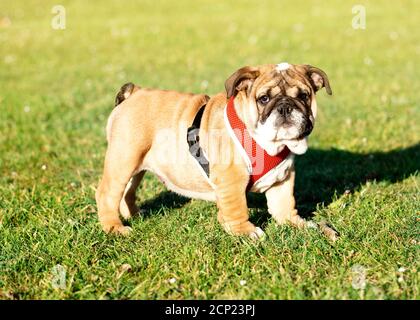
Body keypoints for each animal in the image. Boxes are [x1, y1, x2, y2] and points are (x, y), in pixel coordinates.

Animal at [96, 63, 338, 240]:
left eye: (304, 96)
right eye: (264, 99)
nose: (286, 106)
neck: (271, 145)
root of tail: (134, 92)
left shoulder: (283, 179)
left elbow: (284, 206)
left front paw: (300, 224)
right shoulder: (231, 179)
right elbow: (237, 207)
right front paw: (245, 231)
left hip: (137, 164)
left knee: (127, 192)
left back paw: (135, 215)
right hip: (124, 160)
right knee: (107, 194)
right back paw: (115, 227)